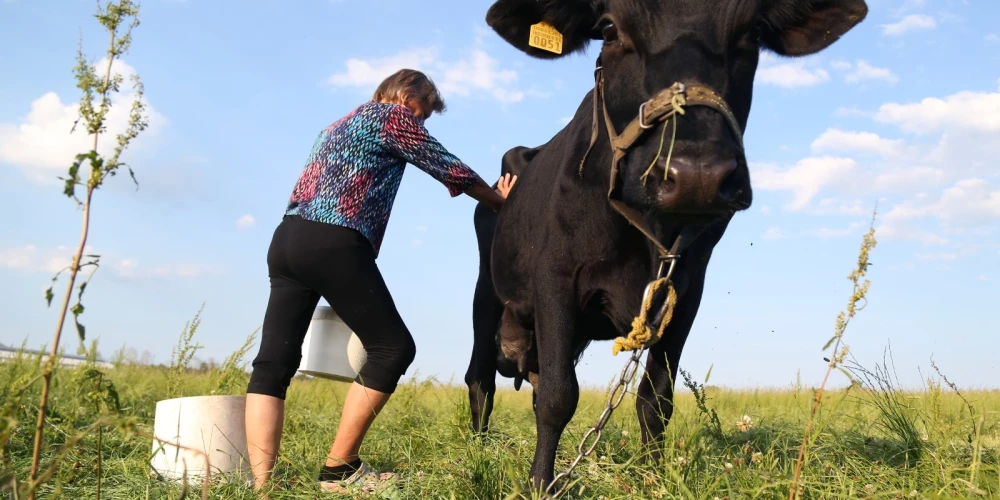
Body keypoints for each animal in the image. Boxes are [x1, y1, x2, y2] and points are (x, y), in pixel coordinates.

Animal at [464, 0, 864, 492]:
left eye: (751, 34)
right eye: (609, 29)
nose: (696, 174)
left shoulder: (686, 290)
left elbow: (655, 397)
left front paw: (650, 477)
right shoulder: (555, 277)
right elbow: (559, 396)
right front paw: (540, 485)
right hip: (486, 294)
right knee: (481, 380)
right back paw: (478, 451)